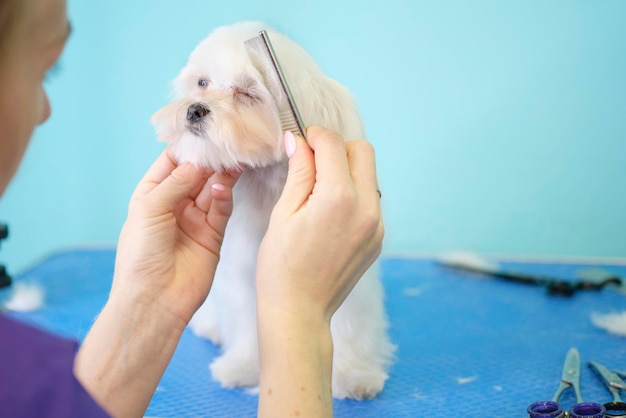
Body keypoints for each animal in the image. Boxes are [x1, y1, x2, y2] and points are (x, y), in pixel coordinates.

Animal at [151, 22, 392, 398]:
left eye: (248, 94)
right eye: (202, 83)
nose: (195, 110)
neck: (267, 186)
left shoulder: (354, 282)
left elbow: (349, 325)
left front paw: (353, 375)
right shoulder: (241, 272)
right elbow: (246, 321)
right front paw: (244, 367)